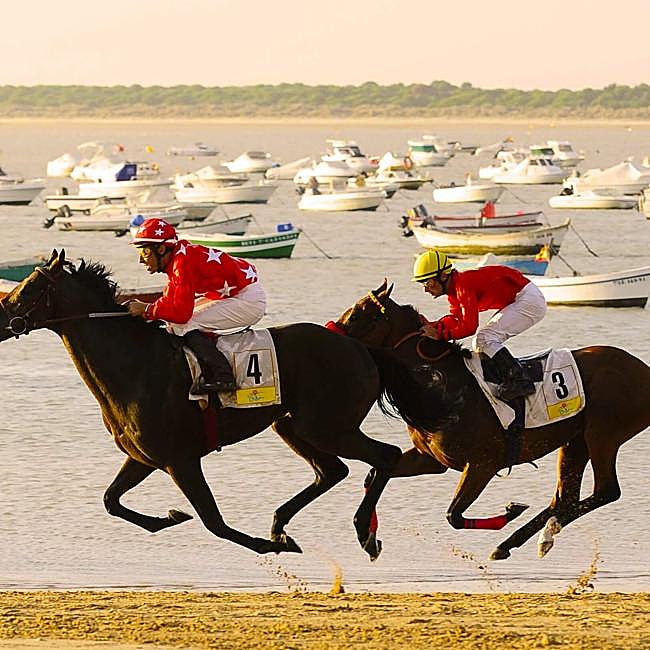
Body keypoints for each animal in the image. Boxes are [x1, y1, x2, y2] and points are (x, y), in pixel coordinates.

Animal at [0, 250, 403, 556]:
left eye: (30, 287)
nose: (1, 315)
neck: (135, 364)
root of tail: (358, 346)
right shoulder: (144, 456)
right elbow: (110, 500)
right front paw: (170, 517)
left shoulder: (181, 459)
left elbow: (214, 522)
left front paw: (266, 545)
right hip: (292, 424)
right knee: (331, 470)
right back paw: (280, 525)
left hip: (328, 426)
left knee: (386, 455)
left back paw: (363, 532)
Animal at [335, 279, 650, 560]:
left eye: (358, 314)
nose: (331, 333)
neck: (442, 387)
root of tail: (643, 369)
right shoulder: (431, 459)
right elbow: (374, 474)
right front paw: (367, 535)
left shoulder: (482, 464)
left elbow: (453, 516)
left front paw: (511, 510)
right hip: (575, 441)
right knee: (565, 498)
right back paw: (531, 539)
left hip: (603, 435)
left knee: (606, 491)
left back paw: (537, 533)